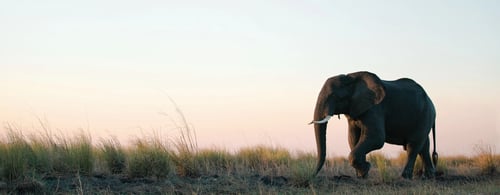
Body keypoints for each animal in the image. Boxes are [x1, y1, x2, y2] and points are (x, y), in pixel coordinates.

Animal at [308, 71, 438, 179]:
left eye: (335, 97)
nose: (312, 175)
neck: (351, 78)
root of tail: (431, 102)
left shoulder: (375, 108)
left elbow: (376, 138)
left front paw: (366, 168)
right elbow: (353, 138)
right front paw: (362, 175)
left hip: (425, 114)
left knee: (413, 145)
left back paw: (405, 177)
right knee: (424, 146)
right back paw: (429, 176)